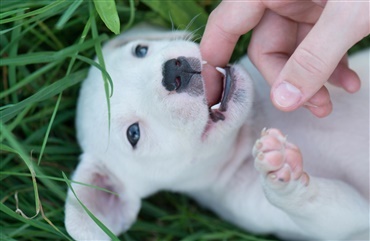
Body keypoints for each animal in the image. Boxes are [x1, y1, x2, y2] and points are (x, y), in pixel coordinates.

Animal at [65, 24, 368, 239]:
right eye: (133, 134)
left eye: (140, 50)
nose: (173, 72)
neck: (249, 129)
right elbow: (329, 209)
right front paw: (283, 175)